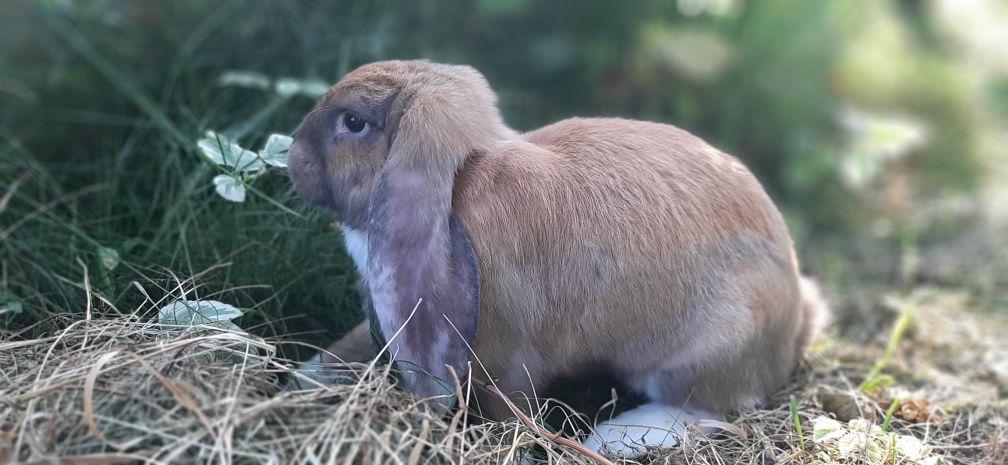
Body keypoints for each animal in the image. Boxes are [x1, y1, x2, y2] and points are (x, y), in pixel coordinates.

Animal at [286, 59, 826, 455]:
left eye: (354, 123)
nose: (293, 156)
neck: (461, 183)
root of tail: (794, 325)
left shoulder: (508, 361)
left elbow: (509, 411)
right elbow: (352, 342)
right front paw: (305, 374)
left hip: (704, 348)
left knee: (708, 407)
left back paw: (615, 439)